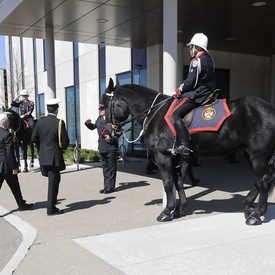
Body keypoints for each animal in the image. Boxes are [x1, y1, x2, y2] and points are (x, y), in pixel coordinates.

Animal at [102, 77, 275, 226]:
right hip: (250, 153)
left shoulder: (163, 157)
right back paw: (248, 207)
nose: (107, 132)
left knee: (263, 181)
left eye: (104, 105)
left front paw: (167, 211)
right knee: (259, 180)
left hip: (258, 155)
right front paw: (179, 209)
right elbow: (178, 182)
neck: (156, 112)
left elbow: (168, 183)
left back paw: (257, 214)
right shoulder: (178, 158)